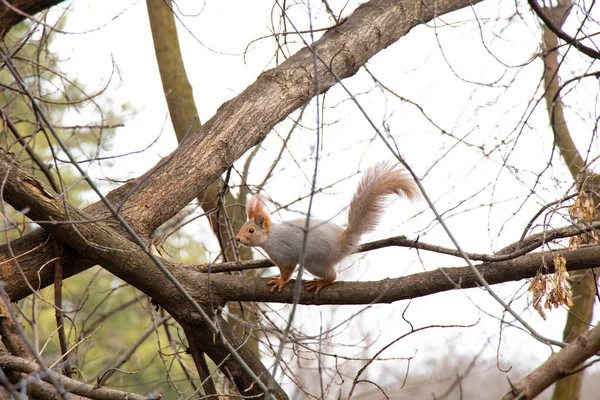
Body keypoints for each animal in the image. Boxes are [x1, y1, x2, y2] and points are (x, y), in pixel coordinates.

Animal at [234, 162, 418, 294]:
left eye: (251, 230)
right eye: (243, 227)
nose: (237, 239)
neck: (269, 238)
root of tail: (342, 243)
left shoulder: (283, 254)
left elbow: (287, 271)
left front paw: (280, 281)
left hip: (315, 262)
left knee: (332, 276)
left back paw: (320, 282)